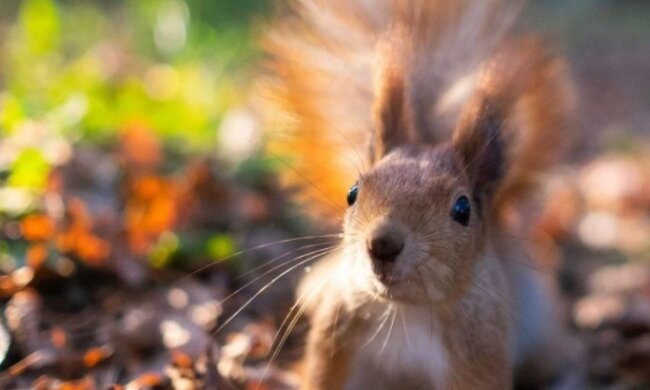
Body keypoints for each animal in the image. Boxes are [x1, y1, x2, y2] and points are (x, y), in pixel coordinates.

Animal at [260, 0, 572, 390]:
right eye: (352, 193)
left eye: (462, 209)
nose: (382, 244)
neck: (404, 312)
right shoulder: (336, 342)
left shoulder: (476, 356)